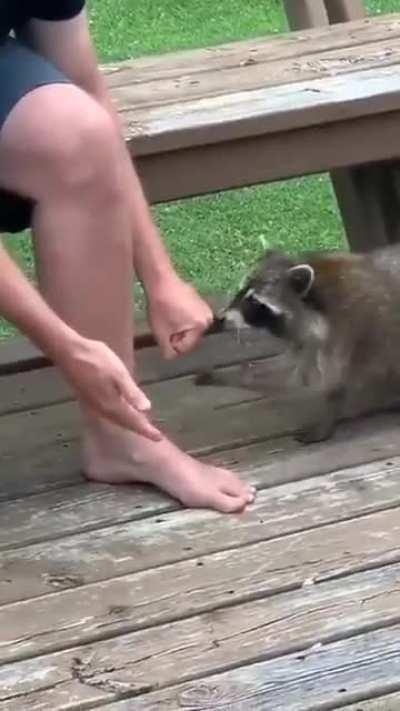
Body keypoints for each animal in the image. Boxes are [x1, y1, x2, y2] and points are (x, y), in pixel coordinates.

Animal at [197, 245, 400, 443]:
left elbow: (324, 384)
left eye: (254, 302)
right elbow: (293, 373)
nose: (220, 319)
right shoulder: (310, 340)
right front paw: (235, 374)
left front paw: (327, 418)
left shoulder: (348, 329)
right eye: (241, 292)